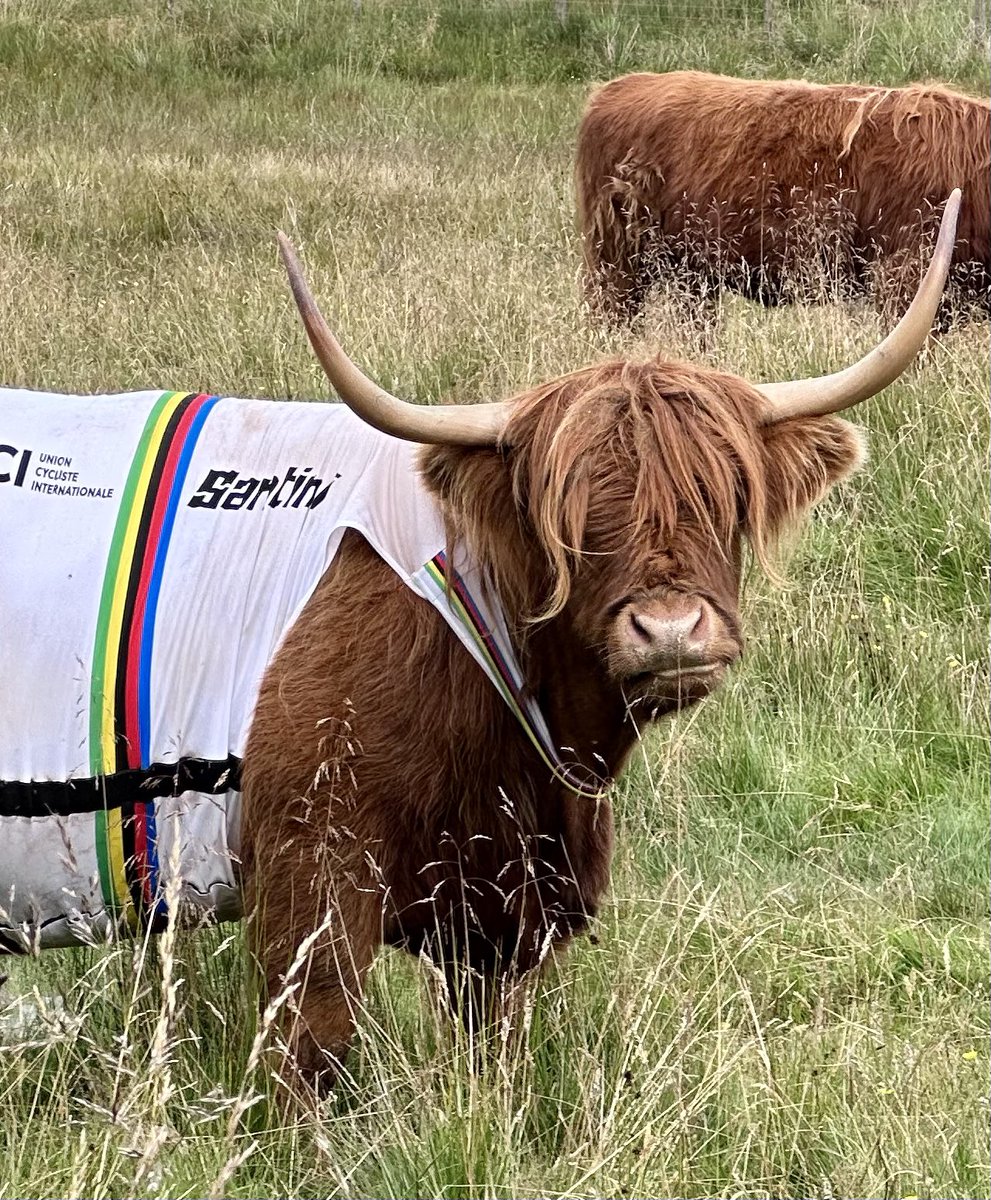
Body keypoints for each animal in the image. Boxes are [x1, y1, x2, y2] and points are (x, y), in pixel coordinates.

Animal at [0, 194, 958, 1102]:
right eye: (570, 520)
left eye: (724, 493)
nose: (670, 630)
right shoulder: (311, 870)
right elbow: (311, 1047)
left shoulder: (497, 914)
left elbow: (490, 1053)